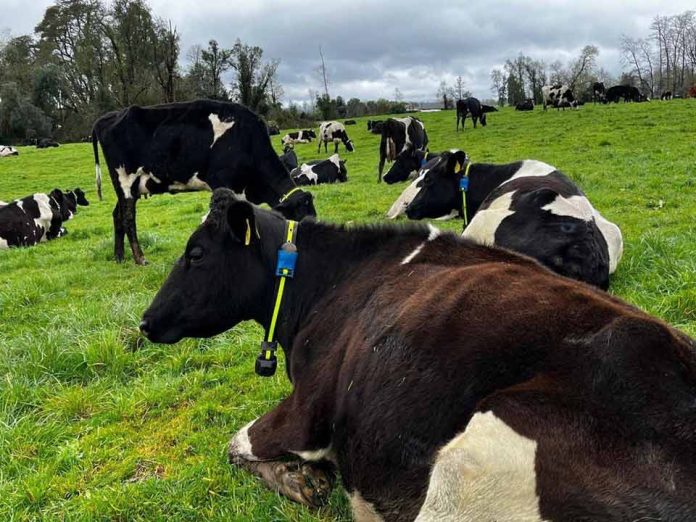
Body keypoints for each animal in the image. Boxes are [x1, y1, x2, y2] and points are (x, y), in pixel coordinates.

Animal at [92, 99, 316, 264]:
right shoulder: (225, 182)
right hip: (125, 180)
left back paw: (119, 257)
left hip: (131, 187)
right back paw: (140, 259)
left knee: (117, 215)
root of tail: (109, 116)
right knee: (128, 218)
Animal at [141, 187, 696, 520]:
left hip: (471, 464)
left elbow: (236, 445)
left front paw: (300, 479)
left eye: (195, 254)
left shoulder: (307, 411)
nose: (145, 321)